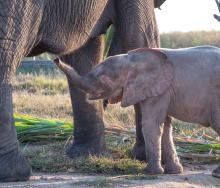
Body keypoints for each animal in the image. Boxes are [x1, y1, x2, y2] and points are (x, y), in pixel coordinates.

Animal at [0, 0, 166, 182]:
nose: (55, 60)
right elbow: (140, 39)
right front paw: (146, 157)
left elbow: (85, 53)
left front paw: (87, 156)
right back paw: (15, 174)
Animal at [54, 46, 220, 178]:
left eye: (102, 79)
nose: (56, 58)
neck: (131, 60)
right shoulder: (163, 90)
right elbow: (165, 126)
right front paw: (174, 172)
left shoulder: (156, 90)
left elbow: (151, 124)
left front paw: (150, 173)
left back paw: (216, 174)